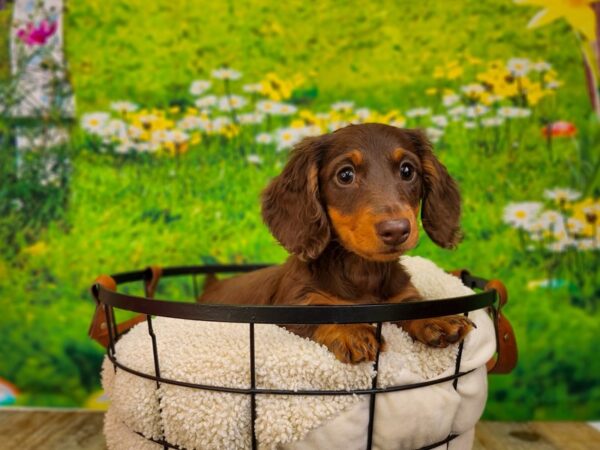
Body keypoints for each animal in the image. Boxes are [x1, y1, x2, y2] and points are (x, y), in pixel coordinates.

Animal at [202, 125, 474, 364]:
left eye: (407, 170)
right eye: (345, 175)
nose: (396, 230)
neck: (362, 271)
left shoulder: (401, 295)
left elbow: (412, 305)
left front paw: (438, 319)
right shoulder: (291, 306)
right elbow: (320, 315)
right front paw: (352, 332)